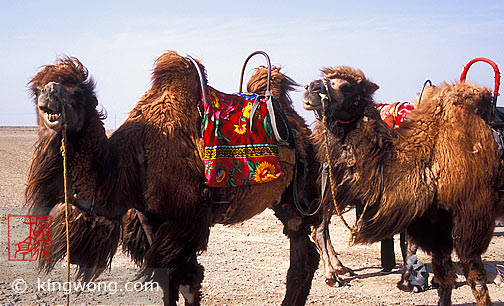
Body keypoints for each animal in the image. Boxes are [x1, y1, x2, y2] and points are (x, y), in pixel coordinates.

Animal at [25, 51, 320, 304]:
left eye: (77, 94)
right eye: (38, 90)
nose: (50, 93)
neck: (130, 163)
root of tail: (298, 125)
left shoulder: (185, 220)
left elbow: (188, 280)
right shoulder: (150, 217)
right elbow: (165, 277)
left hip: (301, 193)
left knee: (304, 252)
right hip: (281, 201)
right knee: (302, 253)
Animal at [302, 65, 502, 306]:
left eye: (347, 86)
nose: (310, 88)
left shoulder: (450, 216)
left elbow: (445, 271)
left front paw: (414, 280)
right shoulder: (465, 214)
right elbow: (473, 278)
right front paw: (410, 281)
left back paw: (341, 269)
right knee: (319, 228)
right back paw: (333, 275)